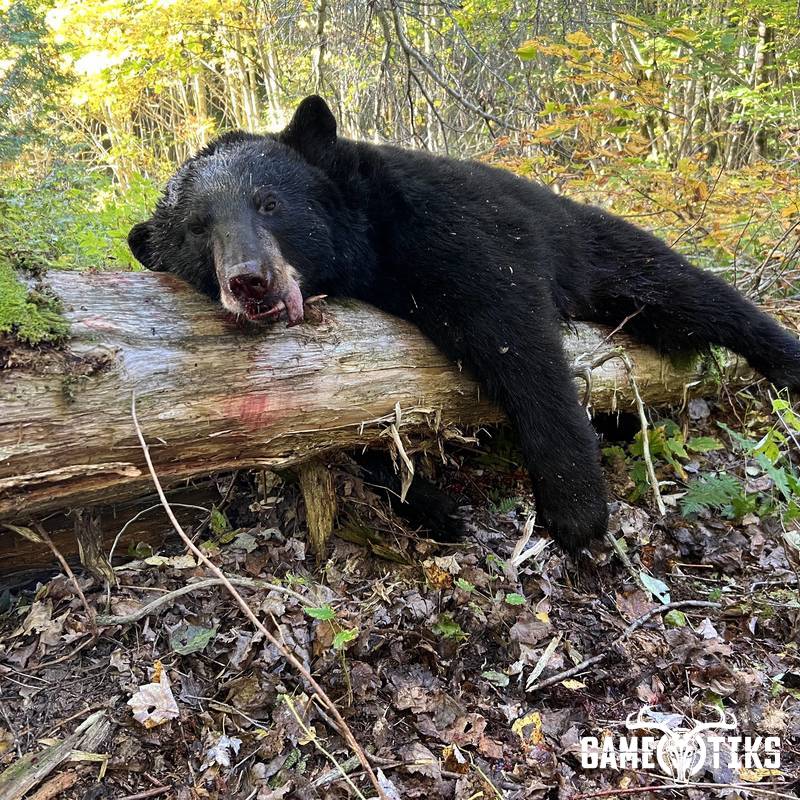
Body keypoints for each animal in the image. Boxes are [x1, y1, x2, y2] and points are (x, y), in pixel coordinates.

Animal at [128, 95, 800, 552]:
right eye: (197, 230)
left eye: (269, 203)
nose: (249, 280)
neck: (365, 250)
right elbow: (350, 430)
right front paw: (433, 505)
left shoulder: (447, 229)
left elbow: (513, 334)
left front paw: (575, 509)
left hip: (595, 247)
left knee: (694, 293)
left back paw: (784, 362)